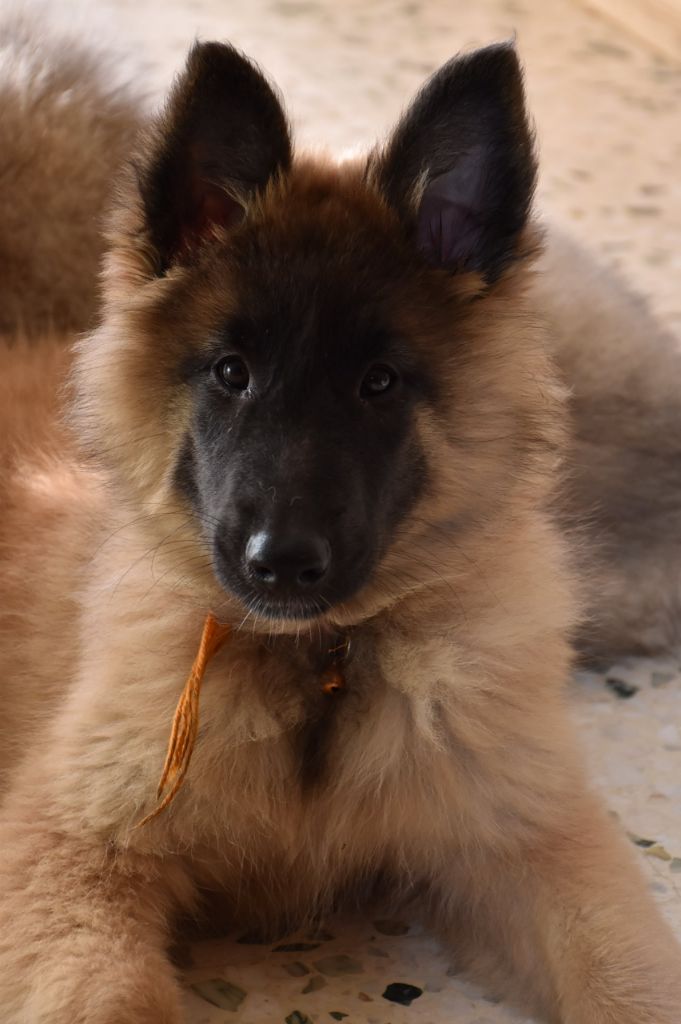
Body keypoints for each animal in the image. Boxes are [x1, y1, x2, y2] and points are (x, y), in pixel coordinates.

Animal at [1, 22, 680, 1024]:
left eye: (378, 383)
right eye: (231, 373)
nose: (281, 563)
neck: (319, 662)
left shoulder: (527, 844)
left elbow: (625, 974)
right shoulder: (73, 853)